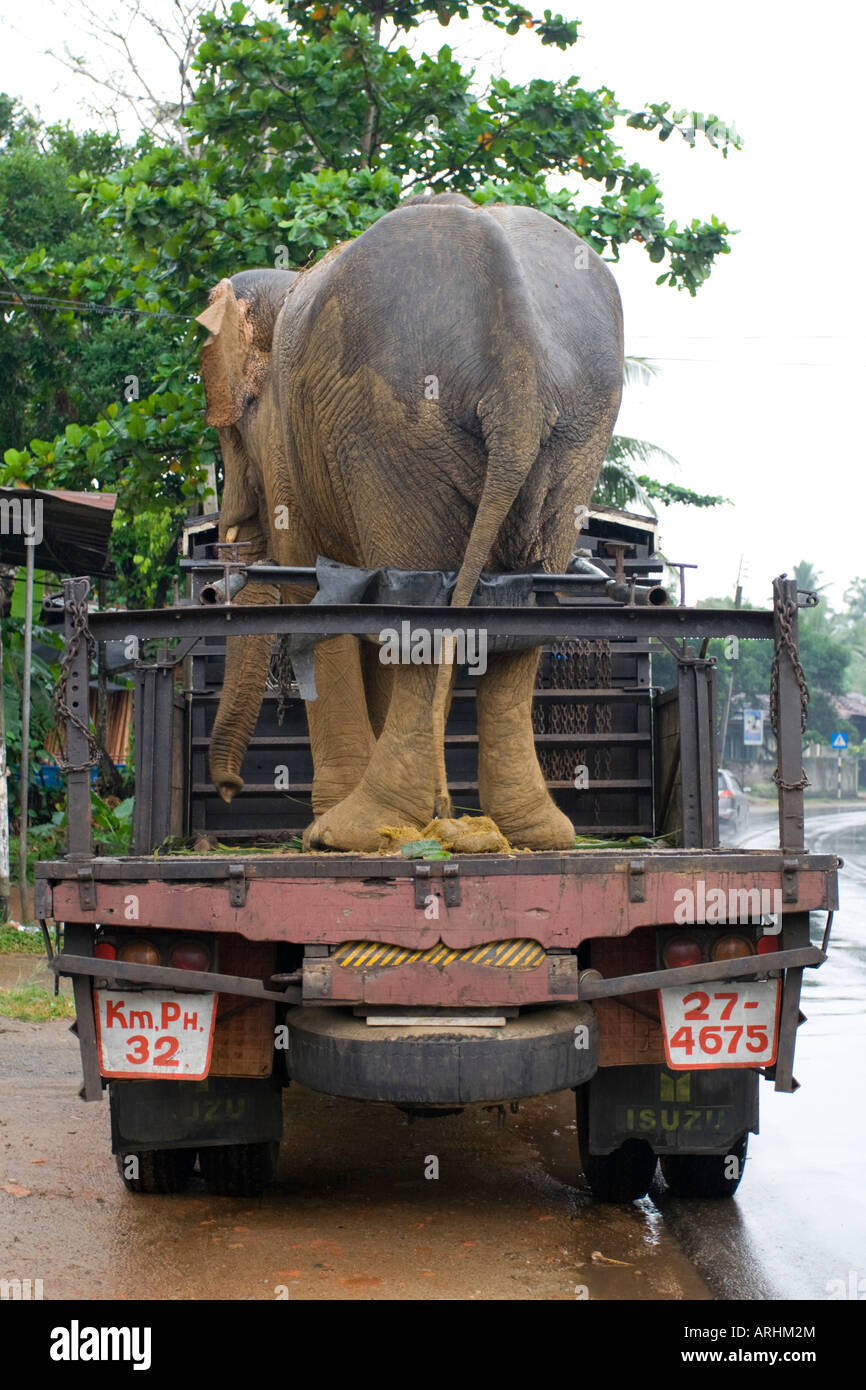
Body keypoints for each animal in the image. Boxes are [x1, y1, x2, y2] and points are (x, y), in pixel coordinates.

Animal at [197, 192, 623, 852]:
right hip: (574, 432)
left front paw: (326, 828)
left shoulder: (290, 446)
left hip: (392, 431)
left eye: (229, 436)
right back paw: (525, 832)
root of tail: (518, 365)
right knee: (518, 618)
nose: (229, 790)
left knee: (417, 610)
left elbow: (317, 595)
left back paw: (355, 829)